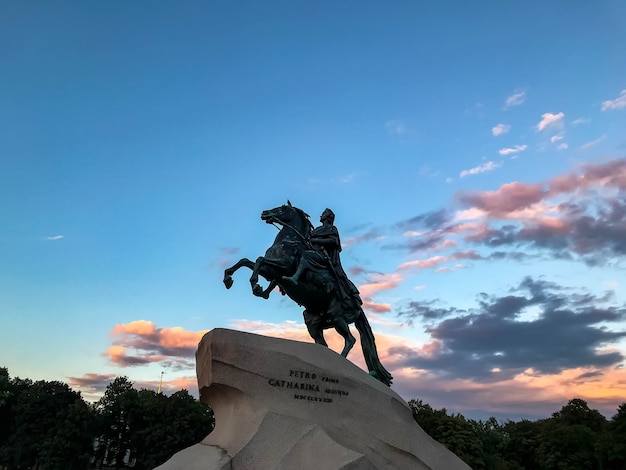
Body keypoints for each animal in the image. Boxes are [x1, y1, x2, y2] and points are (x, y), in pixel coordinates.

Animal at [223, 201, 390, 386]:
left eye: (282, 208)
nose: (264, 213)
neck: (289, 241)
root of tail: (359, 307)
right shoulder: (271, 272)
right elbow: (246, 261)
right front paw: (230, 279)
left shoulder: (283, 265)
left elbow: (259, 260)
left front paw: (255, 285)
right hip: (313, 322)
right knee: (323, 343)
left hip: (337, 316)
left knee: (350, 339)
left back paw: (341, 362)